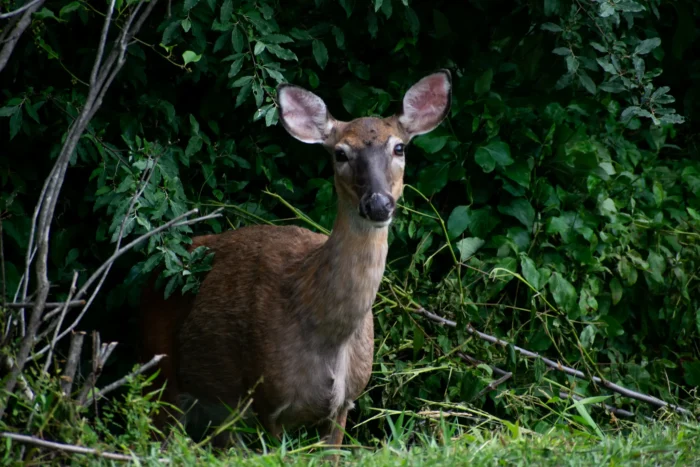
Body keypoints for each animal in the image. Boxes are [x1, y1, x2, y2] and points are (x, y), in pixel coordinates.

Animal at [139, 70, 452, 448]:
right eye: (340, 153)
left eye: (399, 147)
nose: (378, 204)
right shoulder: (268, 400)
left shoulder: (344, 403)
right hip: (160, 374)